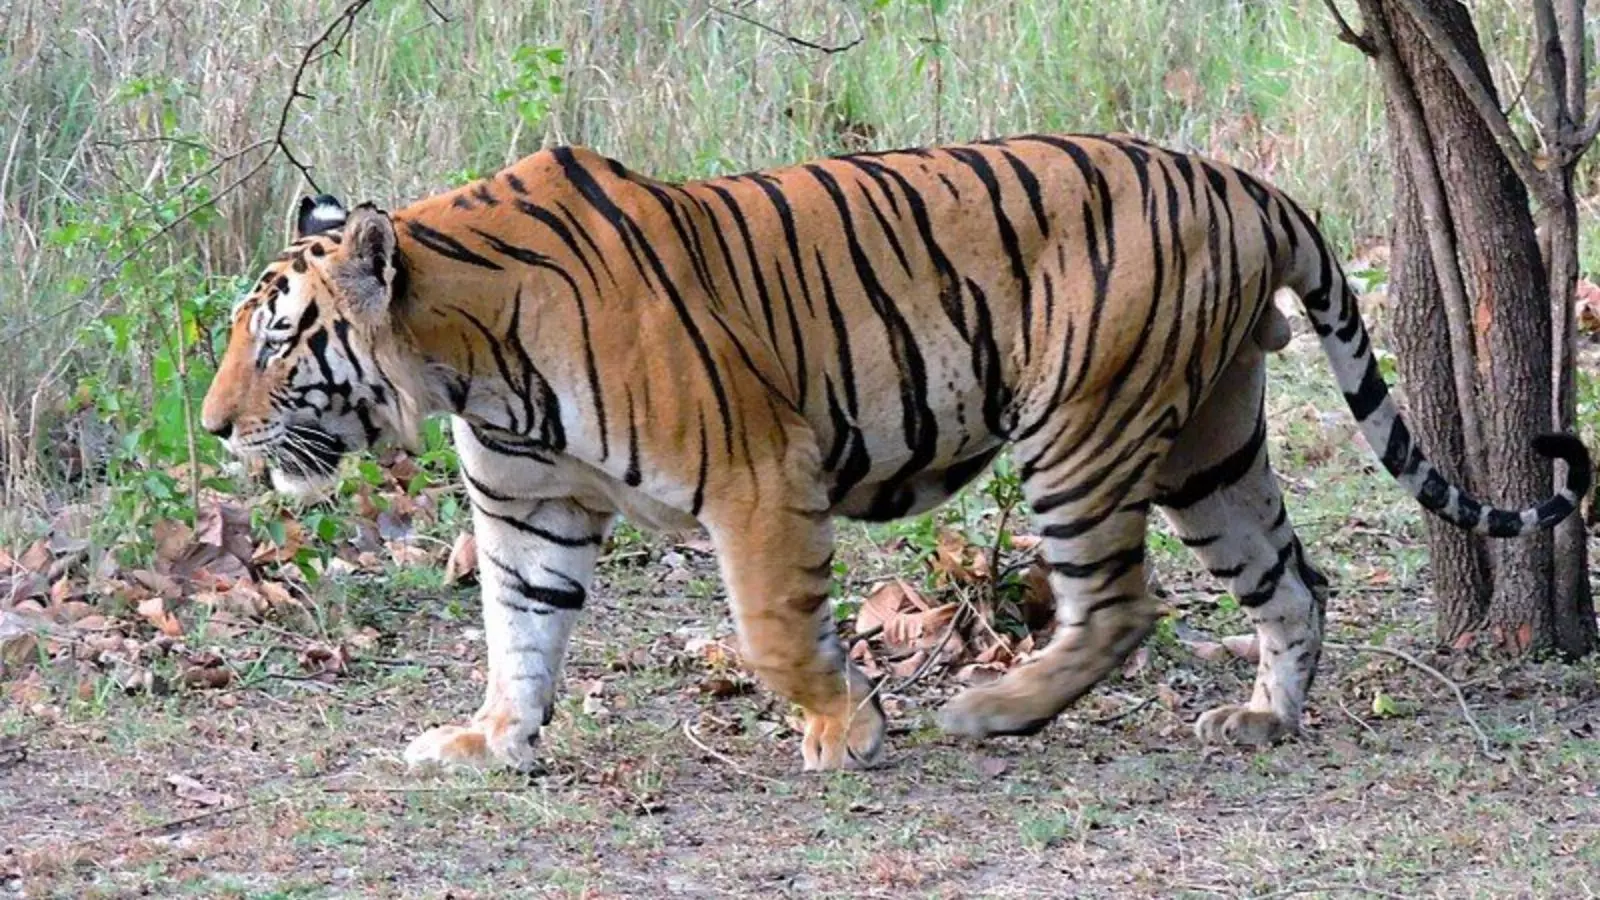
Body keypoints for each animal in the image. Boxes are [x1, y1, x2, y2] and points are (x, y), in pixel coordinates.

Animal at [201, 133, 1591, 772]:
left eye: (275, 339)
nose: (212, 429)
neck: (468, 361)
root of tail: (1244, 182)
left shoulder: (758, 475)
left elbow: (771, 631)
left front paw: (850, 728)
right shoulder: (529, 512)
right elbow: (518, 634)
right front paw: (490, 741)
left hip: (1080, 429)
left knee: (1120, 602)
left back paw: (996, 707)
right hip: (1213, 443)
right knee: (1293, 582)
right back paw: (1260, 717)